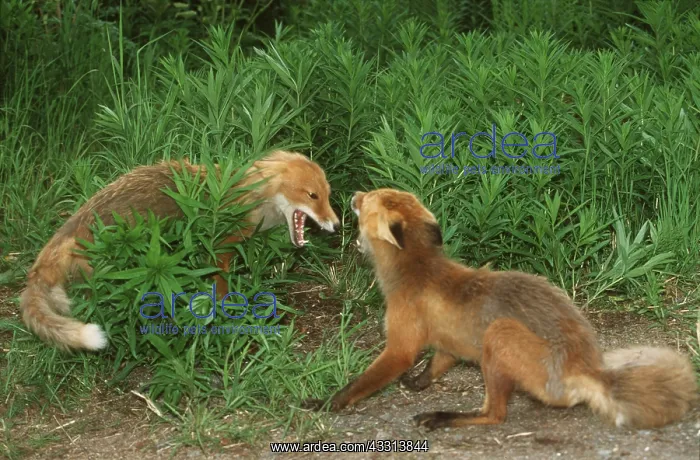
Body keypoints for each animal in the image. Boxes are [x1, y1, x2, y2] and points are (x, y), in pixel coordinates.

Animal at [20, 150, 340, 352]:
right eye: (312, 195)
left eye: (328, 195)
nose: (337, 225)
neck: (248, 198)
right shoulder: (218, 251)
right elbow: (222, 290)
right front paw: (229, 316)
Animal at [304, 188, 697, 430]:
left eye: (370, 199)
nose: (353, 194)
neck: (418, 270)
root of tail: (586, 366)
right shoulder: (447, 344)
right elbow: (435, 365)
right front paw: (417, 383)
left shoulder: (400, 346)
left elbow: (363, 381)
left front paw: (327, 403)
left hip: (499, 336)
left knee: (495, 415)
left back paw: (444, 417)